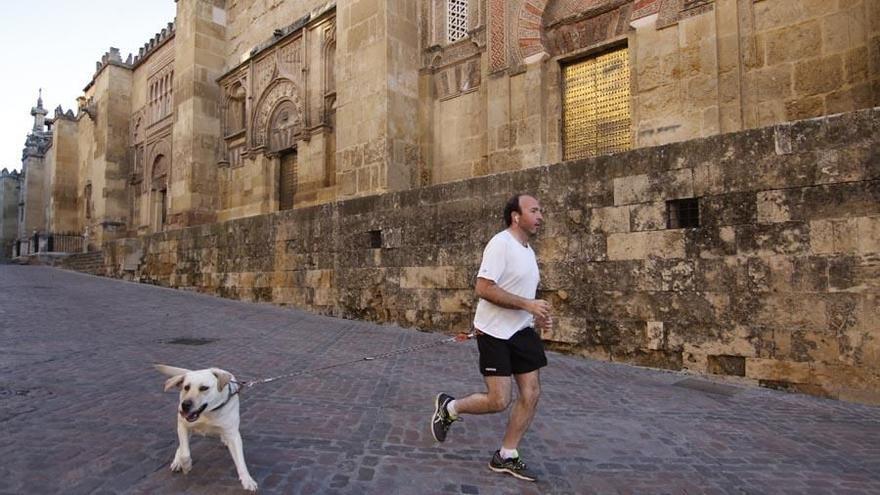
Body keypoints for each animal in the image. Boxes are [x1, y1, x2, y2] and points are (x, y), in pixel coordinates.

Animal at [155, 364, 256, 492]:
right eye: (186, 387)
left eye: (204, 388)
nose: (185, 405)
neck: (207, 413)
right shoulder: (183, 426)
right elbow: (184, 453)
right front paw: (186, 465)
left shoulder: (233, 435)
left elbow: (240, 460)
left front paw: (247, 480)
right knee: (181, 446)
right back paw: (178, 461)